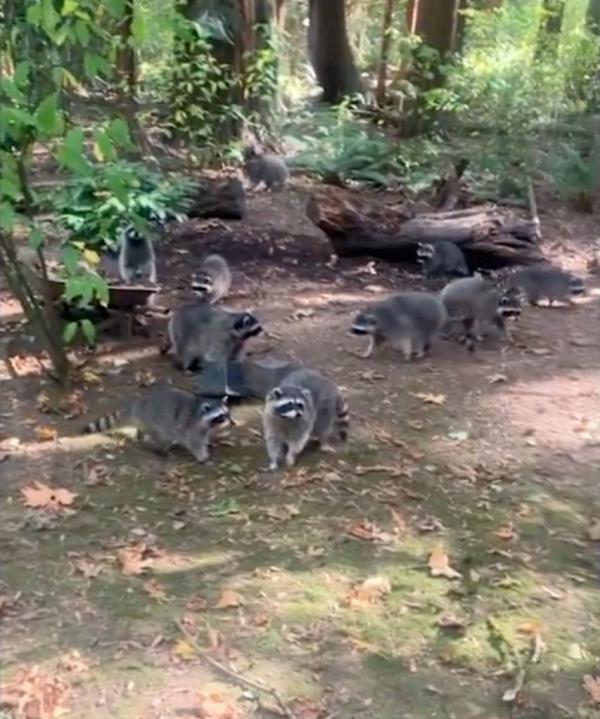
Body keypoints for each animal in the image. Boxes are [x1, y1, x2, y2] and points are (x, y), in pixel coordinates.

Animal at [83, 388, 230, 463]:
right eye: (221, 416)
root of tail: (137, 406)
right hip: (157, 423)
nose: (231, 422)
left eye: (227, 413)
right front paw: (203, 457)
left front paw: (207, 442)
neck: (199, 409)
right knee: (162, 439)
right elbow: (194, 443)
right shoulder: (192, 427)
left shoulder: (203, 426)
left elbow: (203, 436)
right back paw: (161, 450)